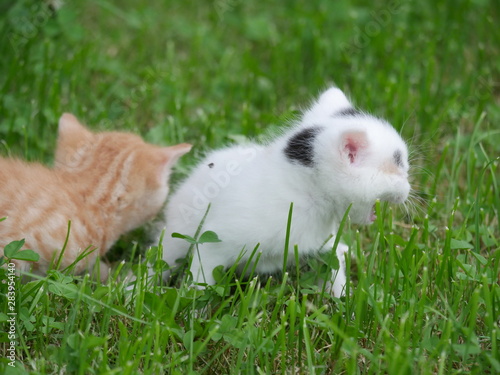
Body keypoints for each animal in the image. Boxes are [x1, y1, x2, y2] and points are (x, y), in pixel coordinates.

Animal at [156, 88, 410, 296]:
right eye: (398, 164)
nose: (409, 186)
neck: (304, 194)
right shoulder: (215, 241)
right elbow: (201, 280)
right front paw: (194, 313)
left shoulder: (322, 245)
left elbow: (334, 269)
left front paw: (342, 303)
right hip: (178, 236)